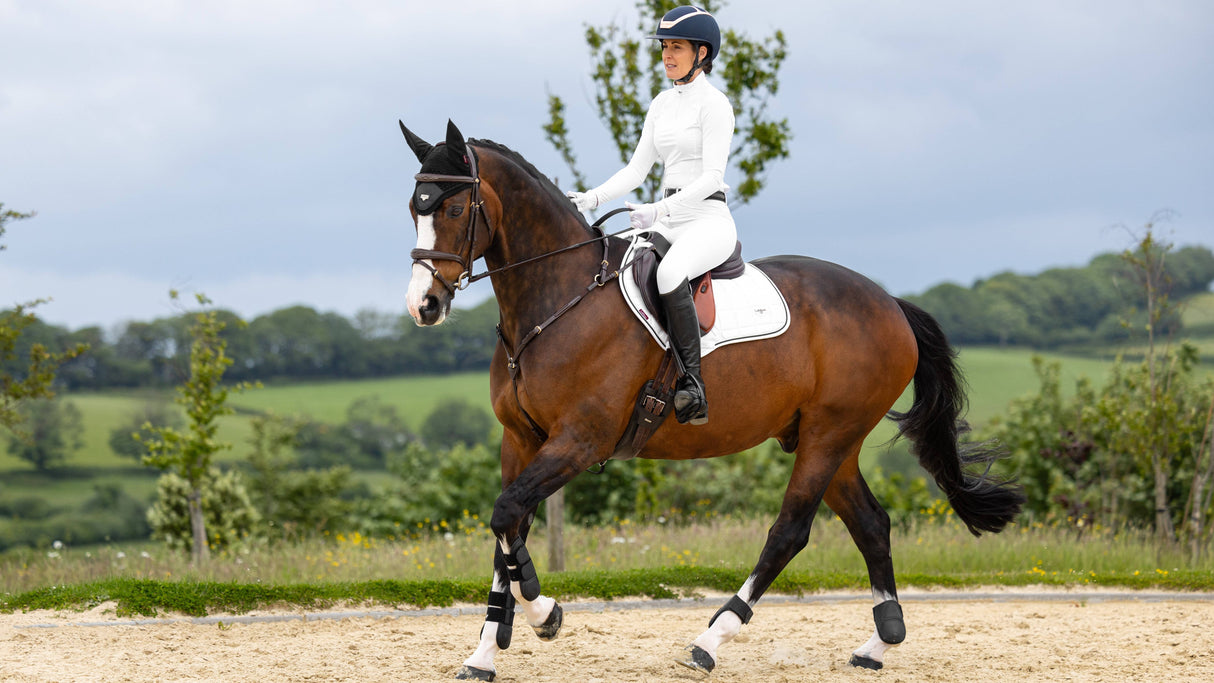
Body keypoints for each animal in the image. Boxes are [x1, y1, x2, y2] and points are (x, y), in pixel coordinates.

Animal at [400, 120, 1024, 679]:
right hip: (832, 440)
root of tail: (890, 303)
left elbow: (508, 516)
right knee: (871, 523)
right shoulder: (522, 440)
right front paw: (486, 650)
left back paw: (709, 642)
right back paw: (879, 643)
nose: (424, 305)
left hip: (828, 436)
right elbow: (507, 528)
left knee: (789, 532)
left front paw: (544, 614)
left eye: (454, 210)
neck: (558, 299)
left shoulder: (580, 440)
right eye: (414, 208)